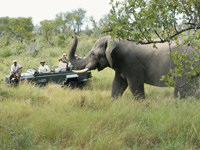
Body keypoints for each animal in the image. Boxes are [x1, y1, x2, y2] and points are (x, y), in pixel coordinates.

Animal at [68, 34, 198, 99]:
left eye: (93, 54)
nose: (72, 35)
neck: (115, 39)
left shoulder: (132, 64)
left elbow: (135, 86)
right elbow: (117, 85)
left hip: (185, 66)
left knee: (187, 90)